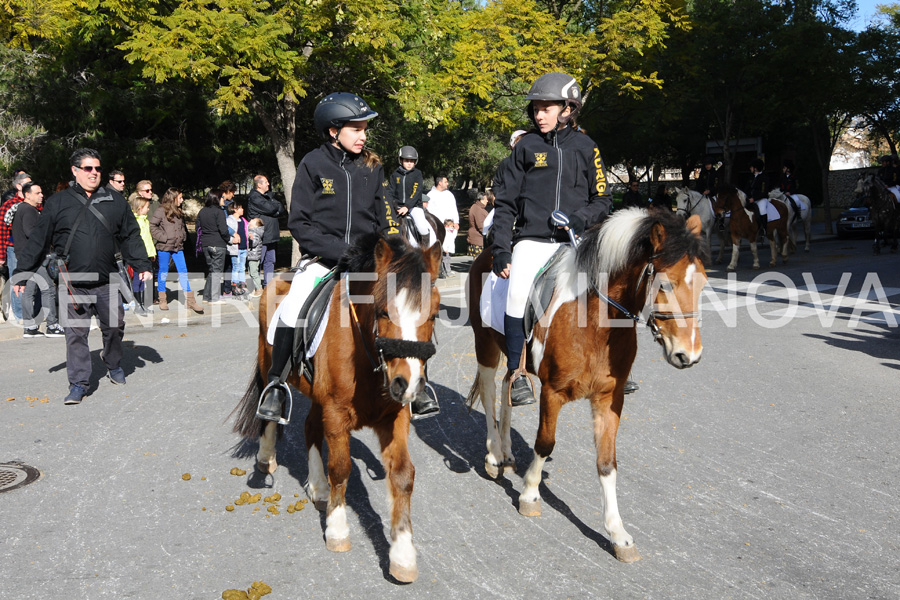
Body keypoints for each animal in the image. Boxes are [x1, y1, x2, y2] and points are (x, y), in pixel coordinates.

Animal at [232, 234, 442, 580]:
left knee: (310, 428)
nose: (407, 384)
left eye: (434, 314)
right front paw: (337, 531)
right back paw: (266, 457)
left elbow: (402, 475)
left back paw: (318, 489)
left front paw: (402, 555)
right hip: (267, 364)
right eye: (383, 311)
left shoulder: (395, 417)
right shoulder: (336, 413)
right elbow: (341, 469)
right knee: (270, 409)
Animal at [464, 210, 712, 564]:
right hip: (485, 344)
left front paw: (617, 533)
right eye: (665, 283)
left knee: (507, 391)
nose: (689, 354)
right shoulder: (553, 392)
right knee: (487, 394)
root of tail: (485, 253)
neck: (594, 319)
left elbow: (607, 463)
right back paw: (495, 455)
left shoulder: (609, 399)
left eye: (703, 281)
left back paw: (508, 451)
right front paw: (529, 495)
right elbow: (544, 443)